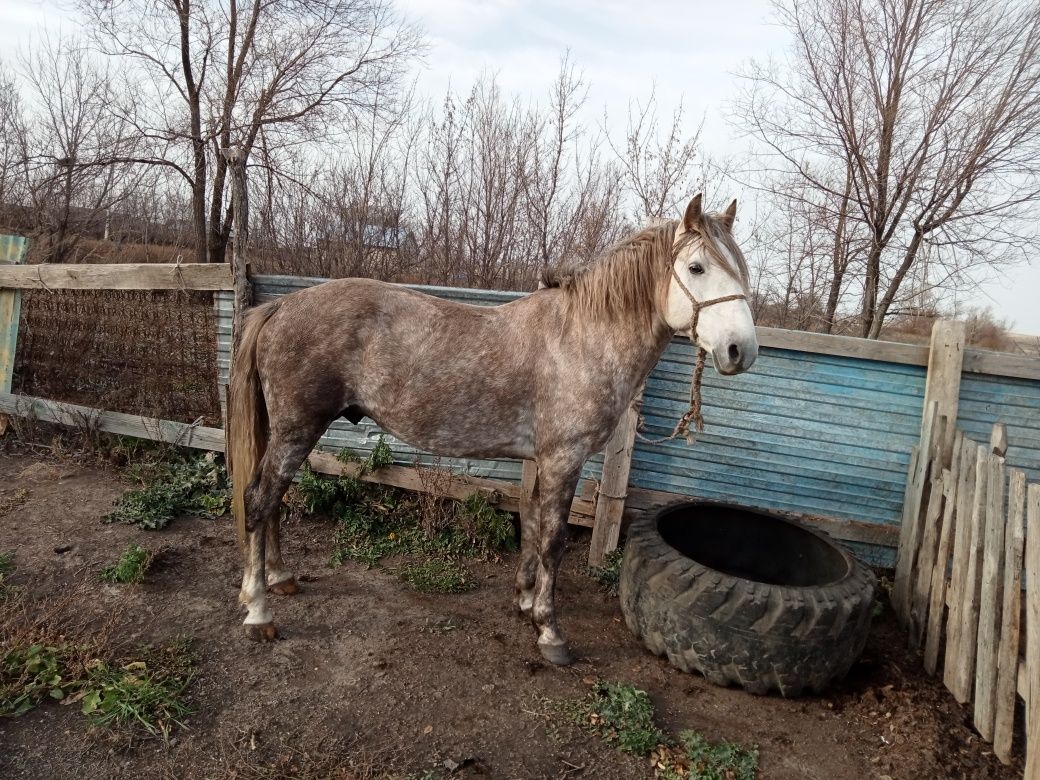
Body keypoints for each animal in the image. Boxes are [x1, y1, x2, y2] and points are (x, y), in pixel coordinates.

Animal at [231, 194, 761, 665]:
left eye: (740, 267)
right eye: (697, 268)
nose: (742, 350)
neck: (581, 336)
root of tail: (282, 307)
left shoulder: (540, 459)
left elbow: (532, 523)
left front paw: (525, 600)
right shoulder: (564, 458)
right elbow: (553, 539)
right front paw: (549, 631)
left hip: (290, 432)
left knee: (273, 500)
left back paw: (280, 578)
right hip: (297, 430)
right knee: (259, 500)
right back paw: (259, 611)